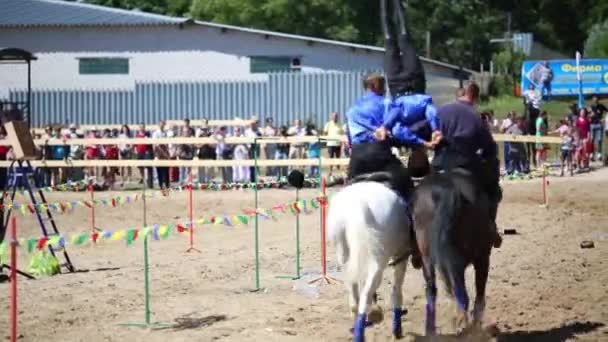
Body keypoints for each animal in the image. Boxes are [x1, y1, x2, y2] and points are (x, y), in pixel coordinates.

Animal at [328, 179, 414, 342]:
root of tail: (358, 204)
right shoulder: (401, 257)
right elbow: (397, 290)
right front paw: (397, 328)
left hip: (344, 257)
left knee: (354, 297)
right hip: (378, 261)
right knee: (365, 296)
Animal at [408, 170, 494, 336]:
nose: (414, 262)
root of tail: (449, 189)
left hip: (438, 260)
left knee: (449, 293)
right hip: (479, 258)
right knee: (473, 296)